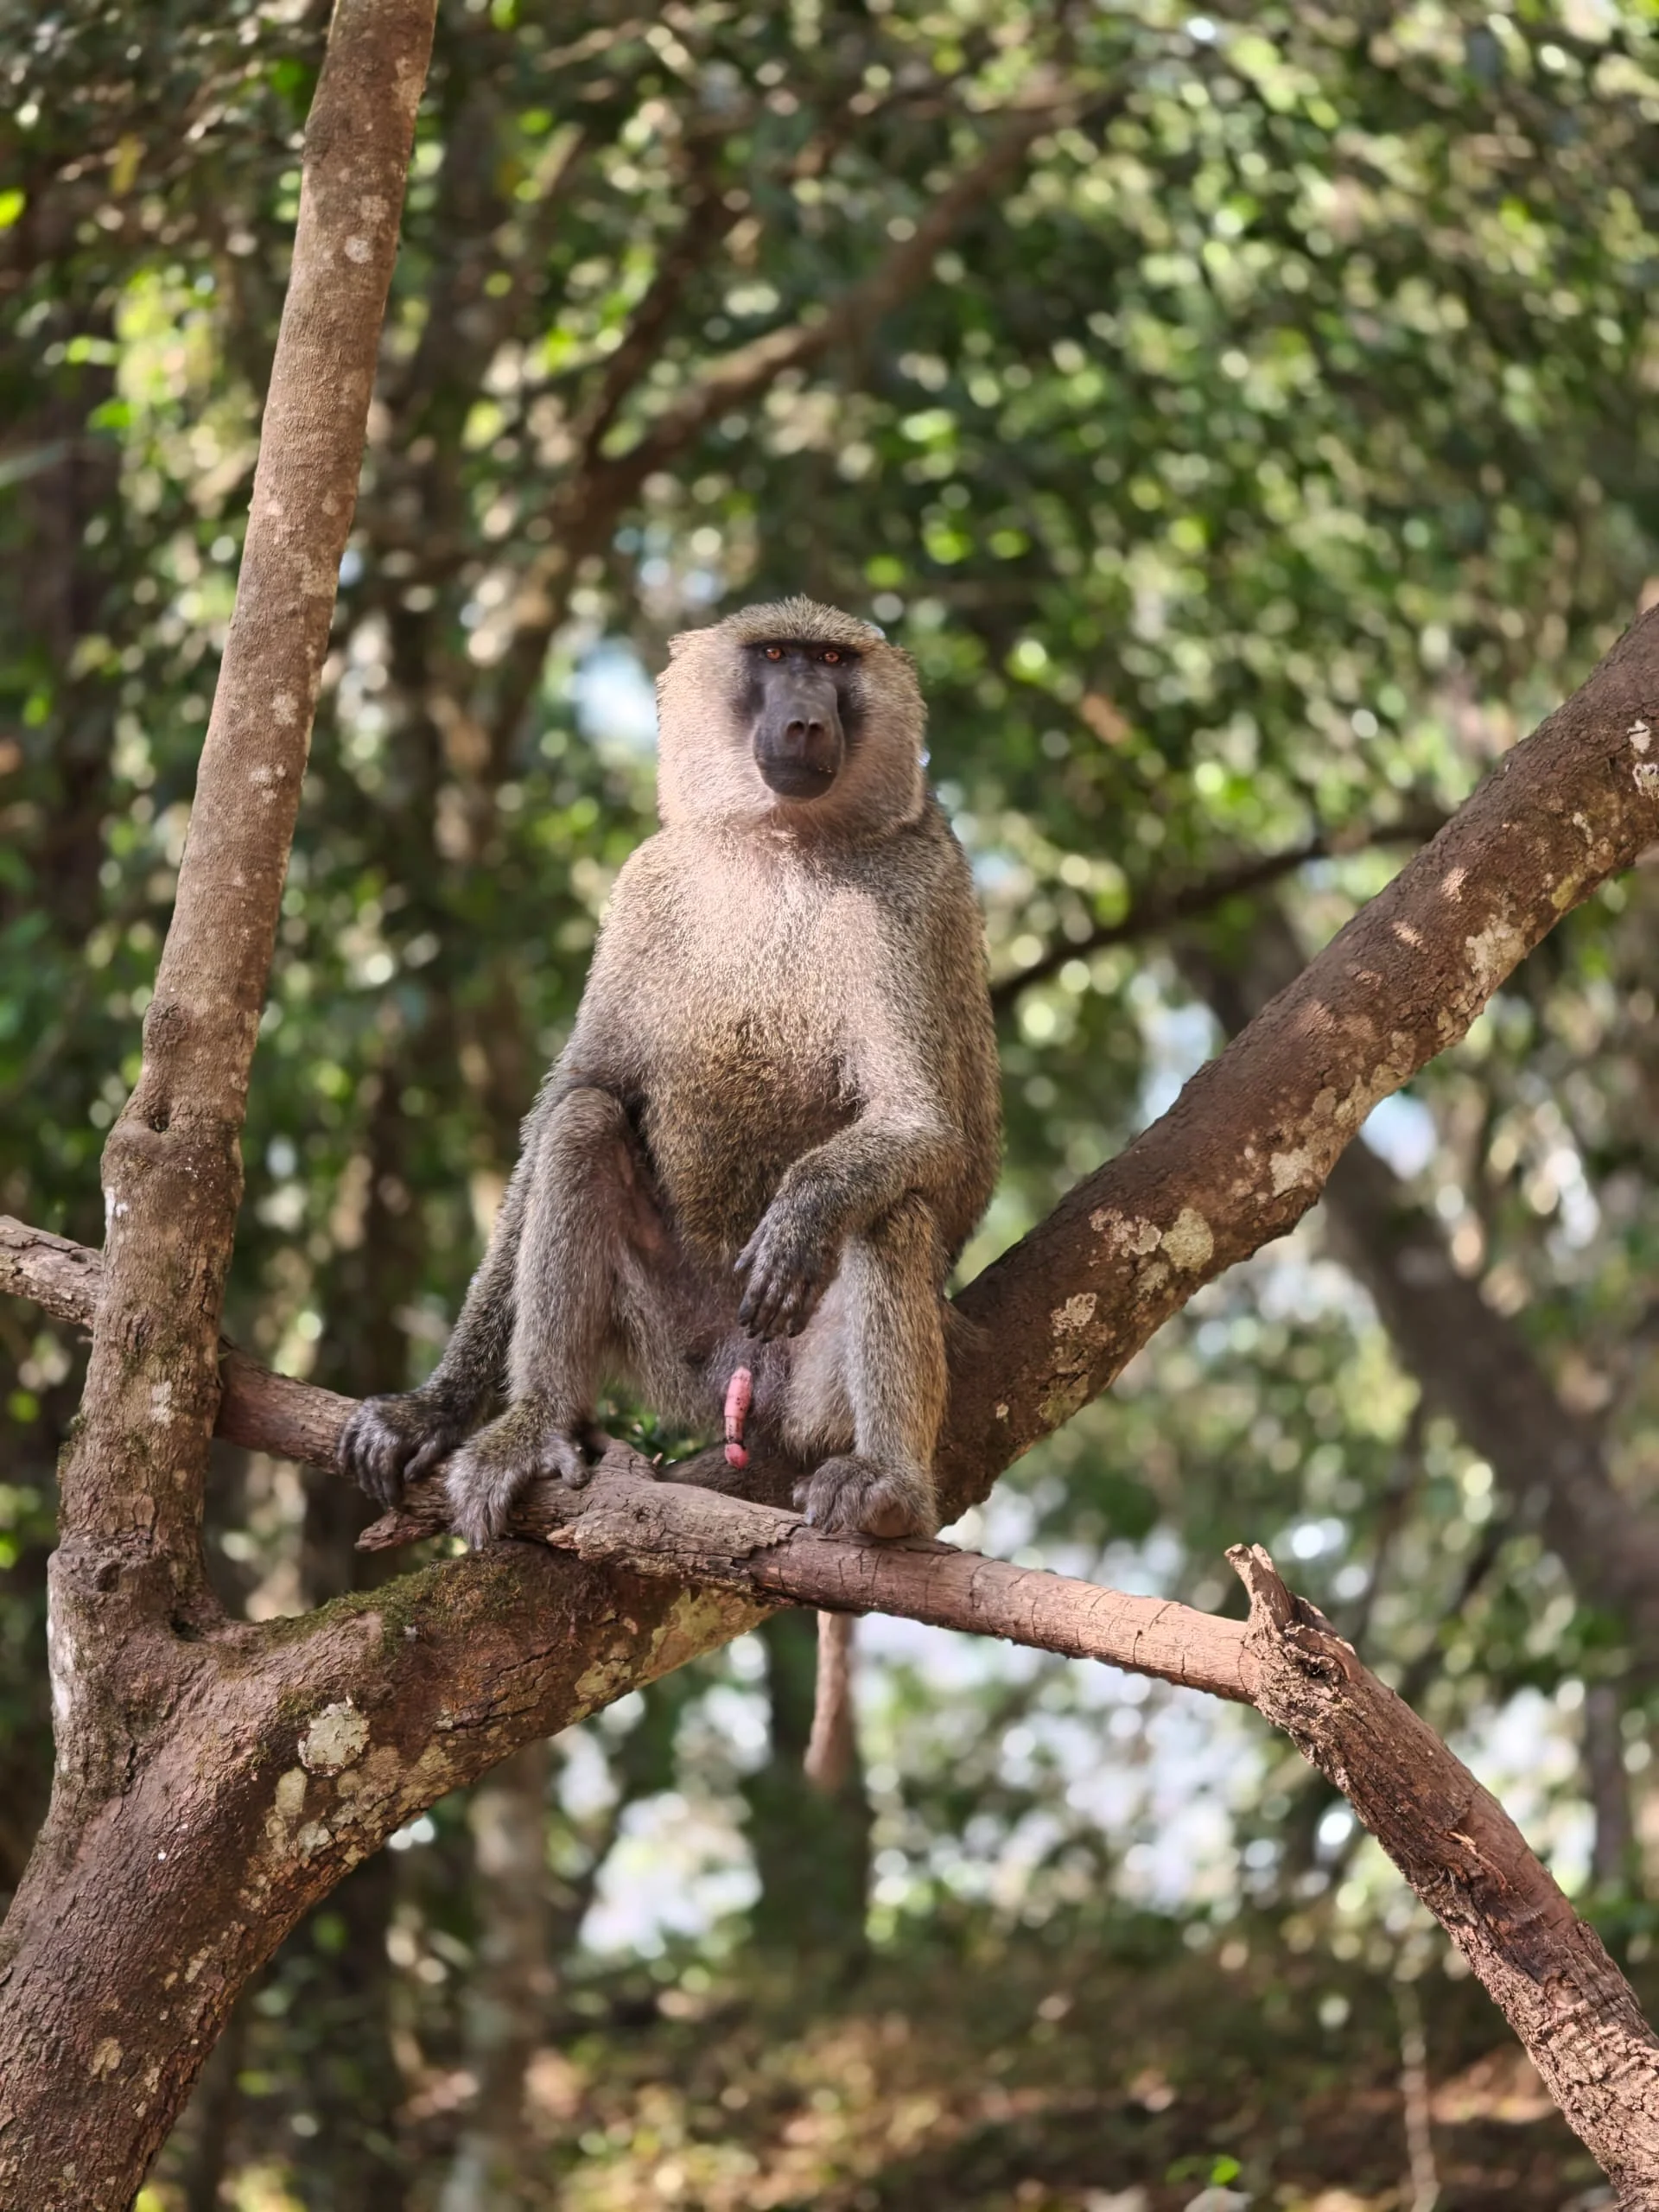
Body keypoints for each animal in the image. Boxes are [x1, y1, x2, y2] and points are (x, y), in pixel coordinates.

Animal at [339, 596, 1001, 1563]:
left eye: (833, 662)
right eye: (776, 655)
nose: (807, 720)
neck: (777, 840)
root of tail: (745, 1382)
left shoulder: (909, 892)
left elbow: (918, 1123)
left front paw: (799, 1216)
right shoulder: (648, 882)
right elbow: (571, 1101)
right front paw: (433, 1406)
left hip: (811, 1379)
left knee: (890, 1206)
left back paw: (889, 1491)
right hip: (671, 1346)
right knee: (584, 1122)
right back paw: (535, 1427)